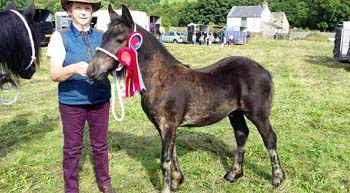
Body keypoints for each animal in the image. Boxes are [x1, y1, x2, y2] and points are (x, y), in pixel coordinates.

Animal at [87, 4, 284, 193]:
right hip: (235, 113)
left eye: (119, 39)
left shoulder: (168, 124)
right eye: (103, 36)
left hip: (258, 114)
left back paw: (277, 178)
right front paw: (177, 181)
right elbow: (172, 154)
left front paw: (167, 188)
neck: (160, 78)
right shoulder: (165, 126)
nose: (91, 70)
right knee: (241, 135)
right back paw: (234, 174)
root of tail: (264, 71)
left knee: (269, 138)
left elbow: (165, 160)